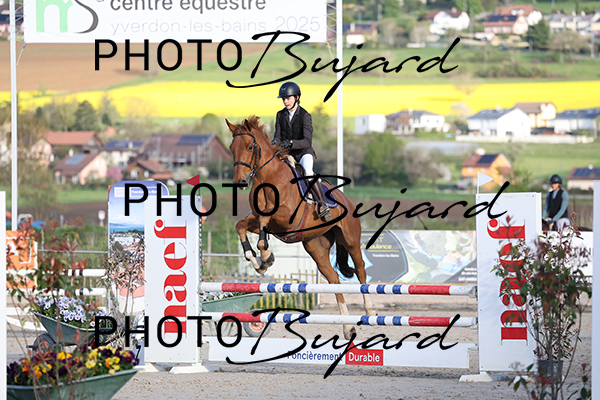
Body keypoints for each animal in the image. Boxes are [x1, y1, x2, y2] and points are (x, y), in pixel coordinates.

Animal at [226, 116, 374, 340]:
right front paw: (258, 261)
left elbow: (263, 221)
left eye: (250, 147)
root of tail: (346, 199)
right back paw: (348, 328)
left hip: (350, 240)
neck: (269, 178)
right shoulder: (258, 221)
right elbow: (242, 225)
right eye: (232, 148)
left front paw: (266, 256)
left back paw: (369, 311)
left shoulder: (285, 218)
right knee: (334, 278)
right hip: (316, 246)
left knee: (360, 269)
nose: (240, 182)